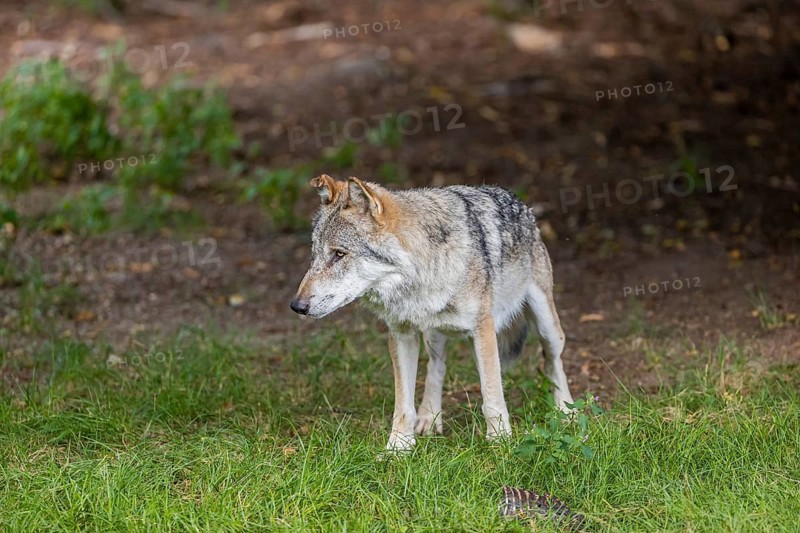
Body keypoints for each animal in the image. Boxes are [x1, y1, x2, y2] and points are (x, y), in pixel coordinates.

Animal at [290, 175, 574, 451]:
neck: (422, 275)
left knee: (553, 361)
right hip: (433, 335)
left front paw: (500, 441)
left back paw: (566, 411)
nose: (297, 306)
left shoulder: (483, 328)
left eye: (339, 254)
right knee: (436, 367)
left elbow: (492, 394)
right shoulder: (401, 335)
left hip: (547, 326)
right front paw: (398, 446)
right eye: (314, 254)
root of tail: (522, 204)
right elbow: (403, 404)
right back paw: (429, 417)